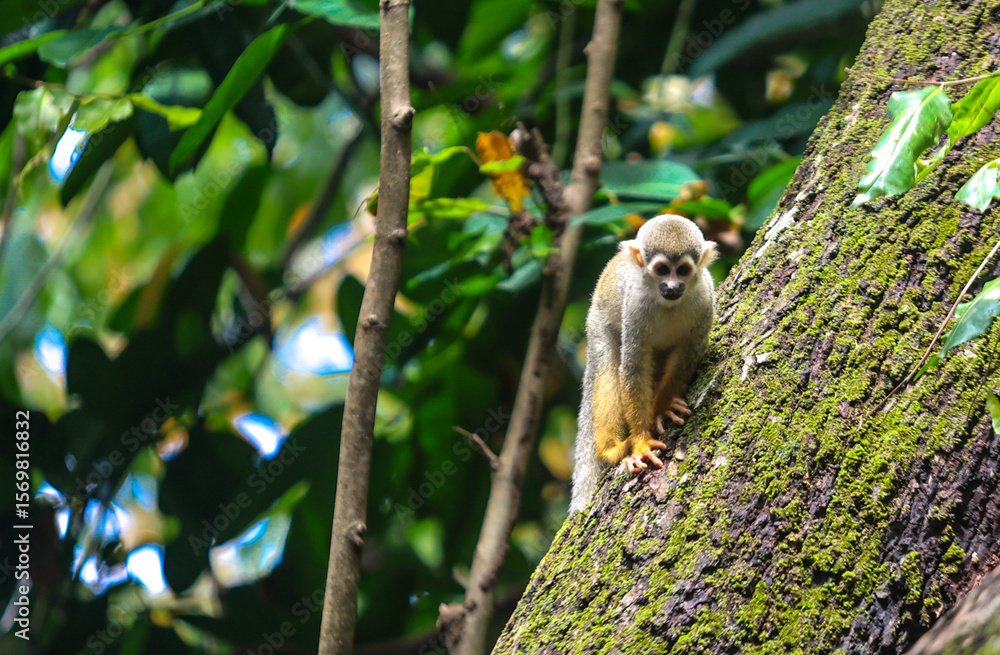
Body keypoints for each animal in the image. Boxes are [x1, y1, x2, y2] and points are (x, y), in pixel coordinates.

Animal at [570, 215, 717, 512]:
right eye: (662, 269)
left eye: (683, 270)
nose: (672, 287)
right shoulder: (635, 305)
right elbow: (633, 368)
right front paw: (641, 442)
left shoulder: (706, 297)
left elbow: (690, 352)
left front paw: (661, 408)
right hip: (597, 322)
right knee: (607, 368)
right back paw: (611, 450)